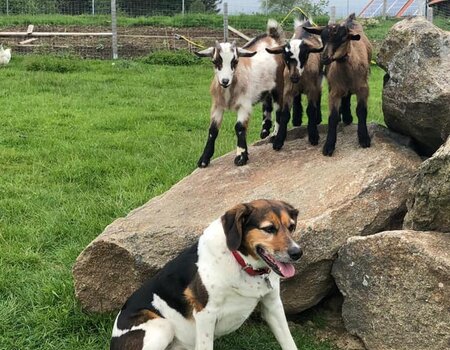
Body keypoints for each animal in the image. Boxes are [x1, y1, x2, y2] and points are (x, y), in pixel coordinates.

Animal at [110, 198, 304, 348]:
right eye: (269, 228)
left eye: (291, 226)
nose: (297, 253)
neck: (242, 262)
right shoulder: (205, 314)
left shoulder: (273, 305)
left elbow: (288, 342)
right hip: (162, 326)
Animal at [194, 19, 284, 167]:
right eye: (215, 61)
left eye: (235, 61)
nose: (225, 81)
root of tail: (273, 39)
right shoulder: (217, 106)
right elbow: (213, 130)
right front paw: (204, 159)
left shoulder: (244, 105)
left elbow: (239, 127)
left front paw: (241, 157)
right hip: (265, 87)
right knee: (267, 103)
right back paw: (264, 130)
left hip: (279, 85)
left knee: (279, 110)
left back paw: (275, 135)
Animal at [266, 18, 326, 149]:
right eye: (285, 57)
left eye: (304, 55)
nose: (294, 76)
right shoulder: (287, 90)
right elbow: (284, 114)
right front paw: (278, 141)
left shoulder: (312, 89)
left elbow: (311, 110)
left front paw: (313, 136)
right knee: (297, 98)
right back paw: (297, 120)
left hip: (319, 79)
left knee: (319, 96)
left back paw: (318, 118)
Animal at [302, 13, 372, 156]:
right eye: (322, 38)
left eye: (343, 38)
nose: (324, 57)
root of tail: (350, 18)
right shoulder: (334, 91)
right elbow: (332, 117)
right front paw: (329, 146)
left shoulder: (363, 88)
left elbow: (361, 111)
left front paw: (364, 139)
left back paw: (347, 117)